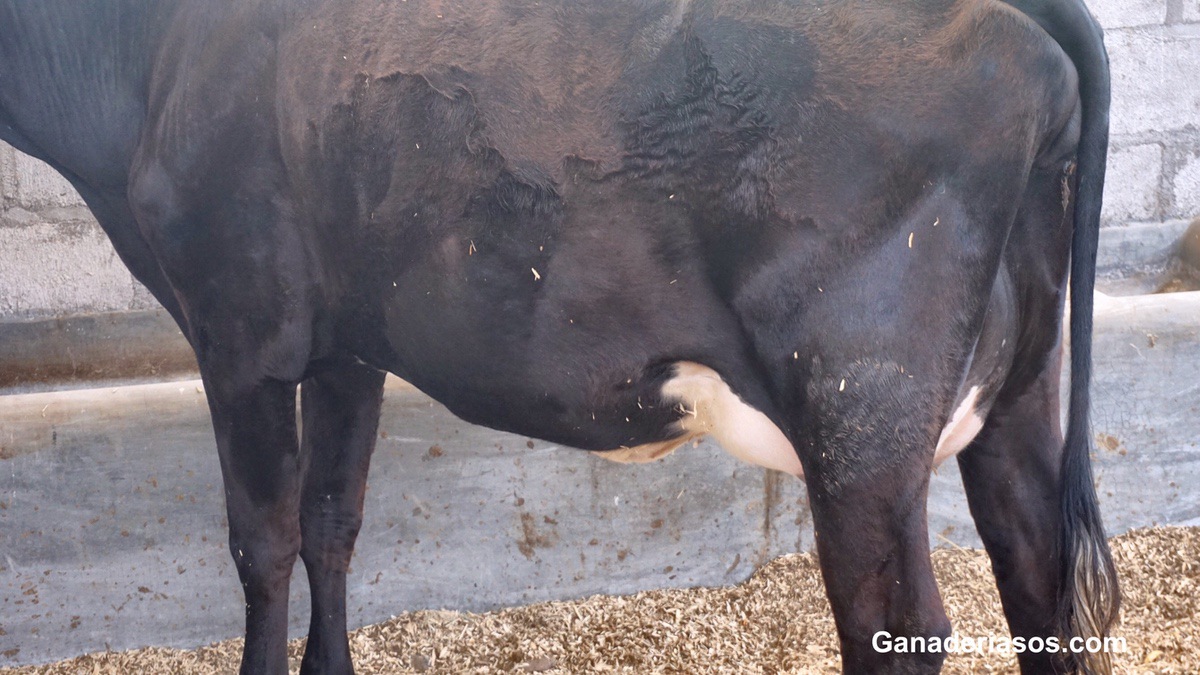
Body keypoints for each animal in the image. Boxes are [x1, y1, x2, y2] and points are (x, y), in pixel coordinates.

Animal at [4, 0, 1118, 667]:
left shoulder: (241, 330)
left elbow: (263, 544)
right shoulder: (346, 341)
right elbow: (331, 521)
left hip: (862, 420)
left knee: (900, 625)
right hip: (1018, 400)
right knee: (1038, 577)